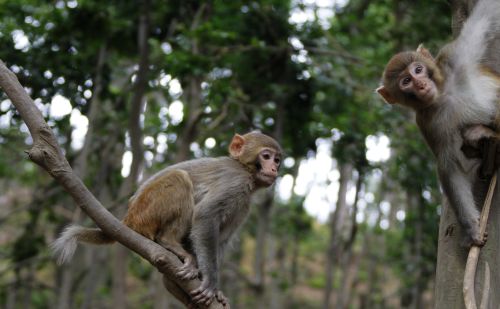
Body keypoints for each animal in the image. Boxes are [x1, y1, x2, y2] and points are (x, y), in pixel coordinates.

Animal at [52, 130, 284, 306]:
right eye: (266, 156)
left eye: (277, 159)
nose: (274, 168)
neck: (246, 171)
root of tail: (128, 219)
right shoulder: (235, 182)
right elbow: (205, 216)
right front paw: (210, 282)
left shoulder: (243, 205)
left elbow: (221, 238)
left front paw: (215, 289)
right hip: (148, 210)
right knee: (180, 179)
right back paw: (169, 243)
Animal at [376, 0, 500, 247]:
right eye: (406, 81)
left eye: (418, 69)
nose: (421, 84)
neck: (443, 95)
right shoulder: (428, 122)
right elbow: (449, 164)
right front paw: (471, 227)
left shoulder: (453, 57)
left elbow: (486, 18)